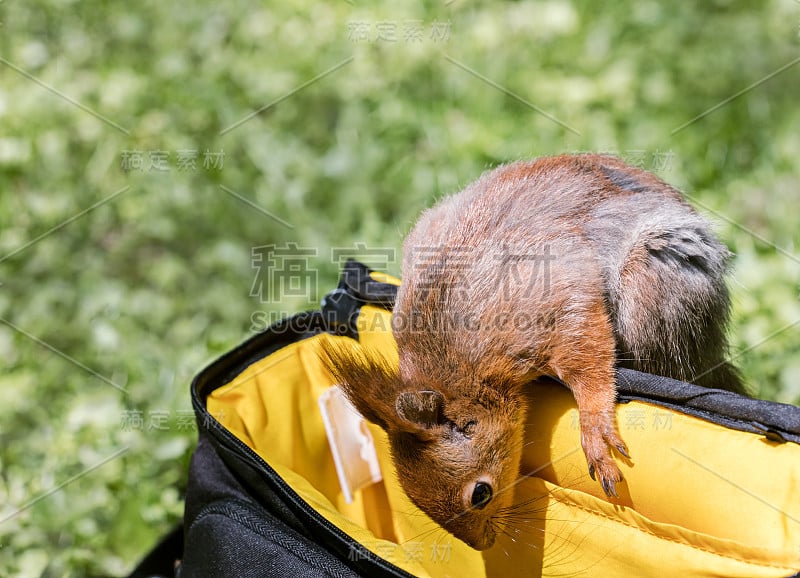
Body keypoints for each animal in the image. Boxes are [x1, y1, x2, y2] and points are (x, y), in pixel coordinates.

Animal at [316, 153, 740, 548]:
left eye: (481, 494)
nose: (483, 543)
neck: (454, 362)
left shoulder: (550, 301)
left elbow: (587, 362)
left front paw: (595, 433)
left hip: (652, 284)